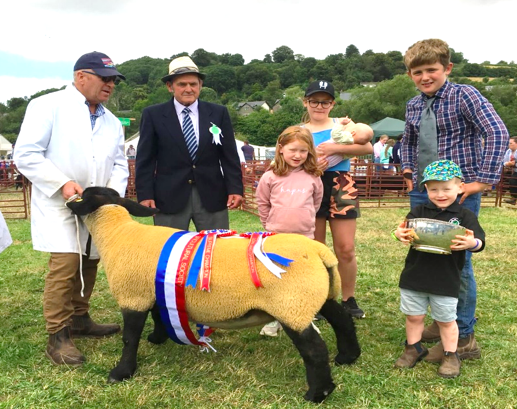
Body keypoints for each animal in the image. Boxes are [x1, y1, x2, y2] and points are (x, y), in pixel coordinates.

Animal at [67, 187, 358, 402]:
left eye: (85, 194)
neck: (117, 233)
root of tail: (320, 252)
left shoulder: (132, 296)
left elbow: (129, 338)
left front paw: (121, 372)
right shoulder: (154, 289)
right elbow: (159, 315)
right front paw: (158, 338)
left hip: (292, 304)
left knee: (314, 349)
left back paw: (317, 394)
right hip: (318, 295)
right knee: (343, 321)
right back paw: (347, 358)